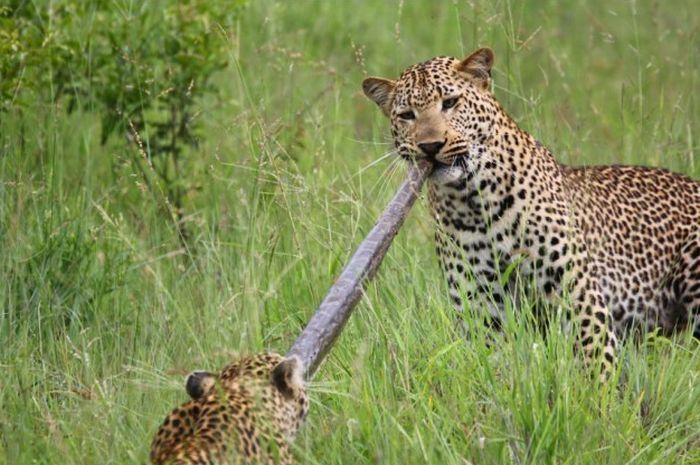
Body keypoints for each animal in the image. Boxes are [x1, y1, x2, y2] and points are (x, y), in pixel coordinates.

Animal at [360, 47, 700, 376]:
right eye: (407, 115)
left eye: (450, 103)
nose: (430, 146)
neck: (472, 202)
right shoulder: (482, 310)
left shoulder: (576, 295)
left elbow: (597, 365)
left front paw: (600, 396)